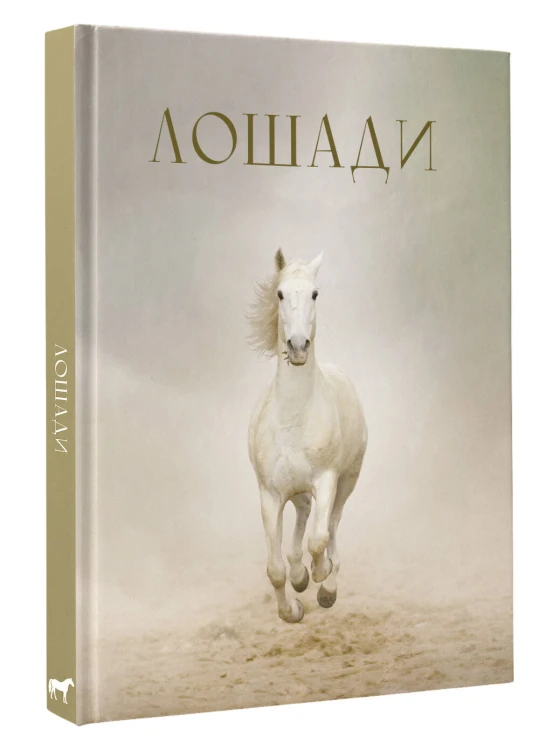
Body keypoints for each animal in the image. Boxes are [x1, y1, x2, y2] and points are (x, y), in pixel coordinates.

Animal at [248, 249, 367, 623]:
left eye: (315, 294)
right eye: (280, 294)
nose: (298, 346)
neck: (293, 419)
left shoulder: (326, 480)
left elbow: (319, 539)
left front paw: (321, 578)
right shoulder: (270, 495)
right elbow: (275, 568)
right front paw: (292, 609)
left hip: (347, 481)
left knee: (332, 523)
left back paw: (326, 582)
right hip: (296, 491)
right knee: (302, 515)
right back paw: (301, 575)